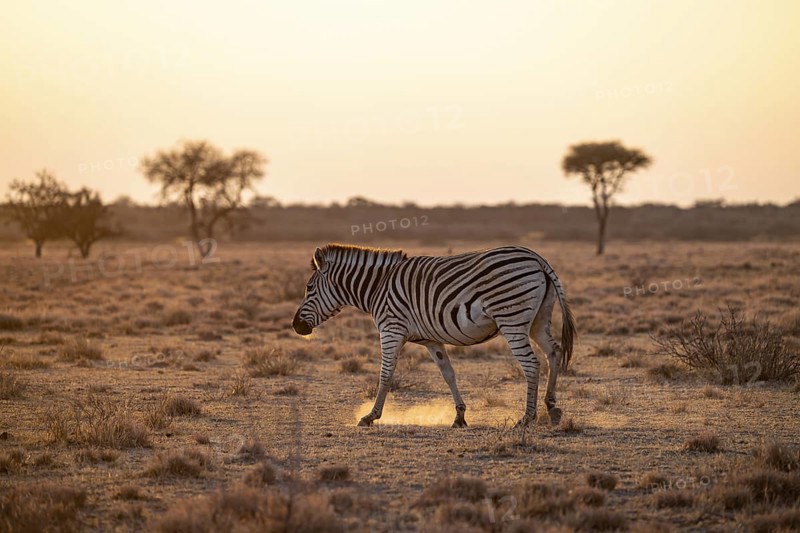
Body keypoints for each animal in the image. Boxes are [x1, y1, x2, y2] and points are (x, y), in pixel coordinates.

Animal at [292, 244, 576, 428]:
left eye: (308, 288)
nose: (296, 326)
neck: (377, 287)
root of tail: (537, 259)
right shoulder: (431, 339)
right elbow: (448, 373)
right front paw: (459, 417)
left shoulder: (391, 329)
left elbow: (385, 374)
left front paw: (370, 416)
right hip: (538, 320)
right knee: (553, 353)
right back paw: (552, 408)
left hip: (512, 319)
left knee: (531, 364)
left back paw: (527, 418)